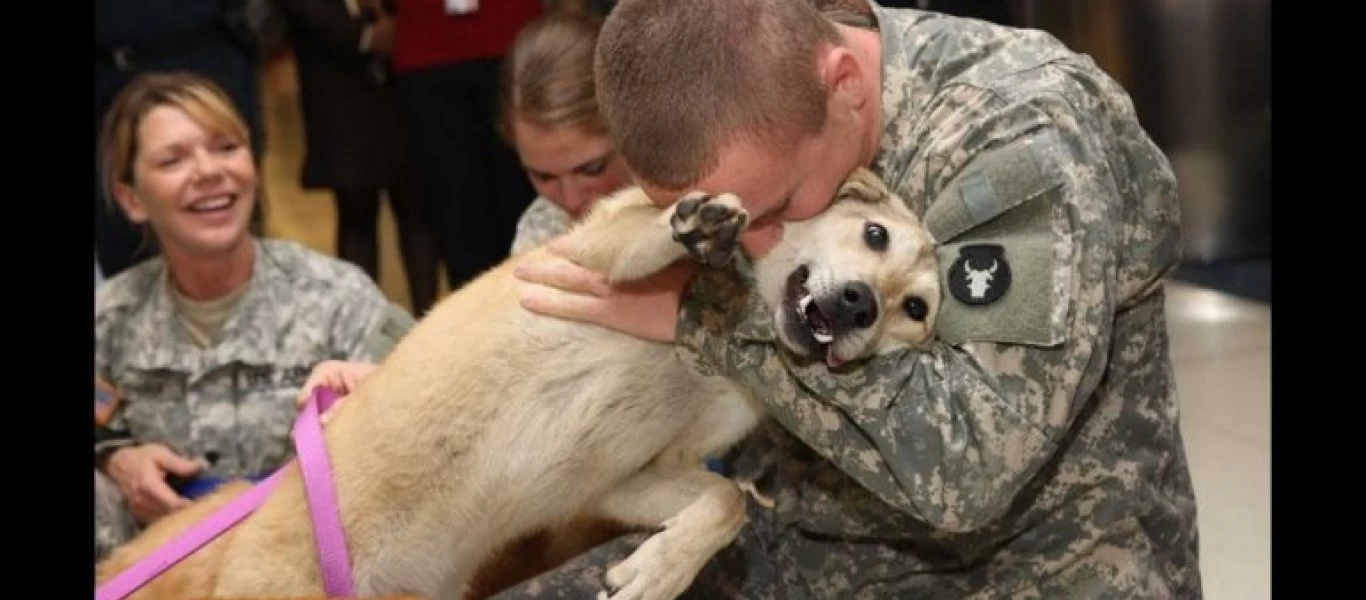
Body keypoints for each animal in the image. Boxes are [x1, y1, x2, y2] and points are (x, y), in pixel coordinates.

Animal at [99, 166, 939, 600]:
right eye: (874, 236)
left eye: (918, 309)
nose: (860, 305)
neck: (713, 349)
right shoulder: (586, 254)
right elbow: (643, 233)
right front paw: (694, 226)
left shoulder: (629, 478)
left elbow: (725, 502)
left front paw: (659, 569)